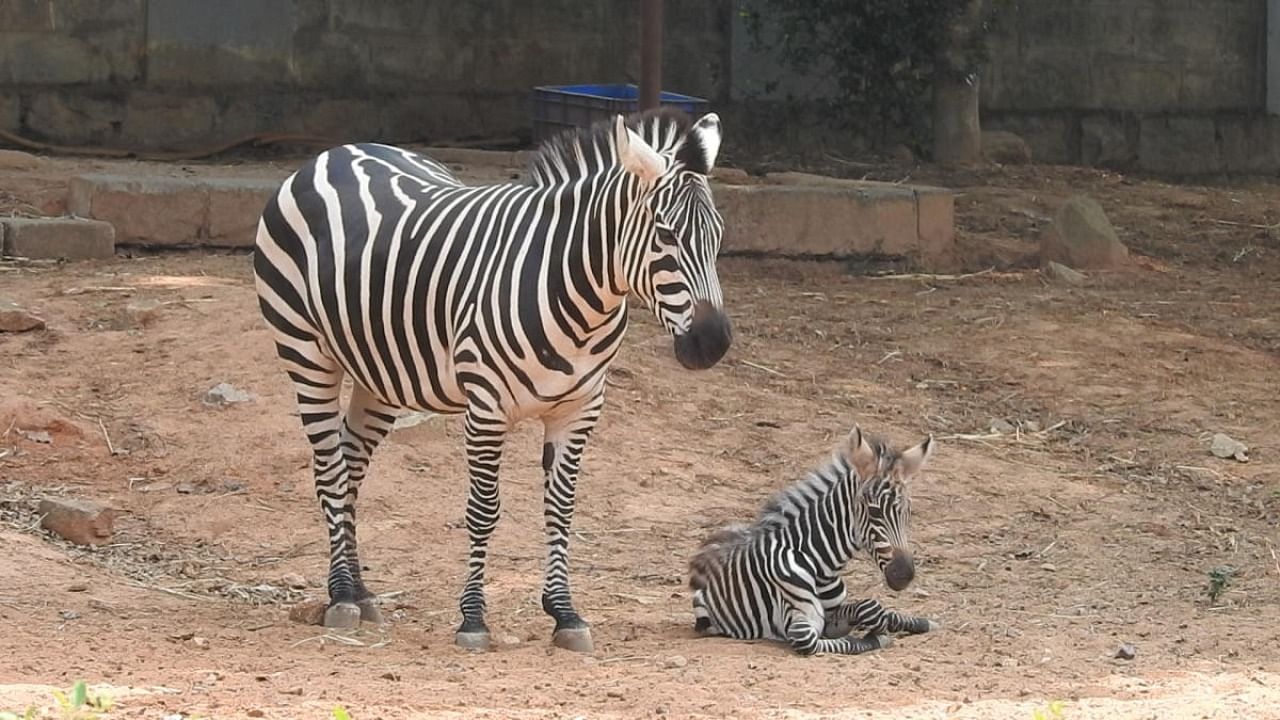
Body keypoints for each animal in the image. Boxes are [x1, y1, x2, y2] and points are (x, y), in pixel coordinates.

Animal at [252, 107, 732, 650]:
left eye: (718, 236)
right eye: (665, 235)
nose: (714, 343)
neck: (580, 296)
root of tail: (334, 153)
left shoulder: (580, 410)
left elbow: (561, 508)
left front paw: (565, 613)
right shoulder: (486, 407)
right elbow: (483, 511)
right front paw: (473, 619)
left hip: (379, 371)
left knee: (351, 466)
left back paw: (360, 590)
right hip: (305, 352)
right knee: (330, 472)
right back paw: (339, 596)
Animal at [691, 422, 942, 653]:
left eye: (908, 513)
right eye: (875, 512)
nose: (905, 574)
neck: (820, 564)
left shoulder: (831, 614)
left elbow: (872, 608)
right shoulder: (801, 622)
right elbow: (820, 640)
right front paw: (875, 638)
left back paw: (926, 622)